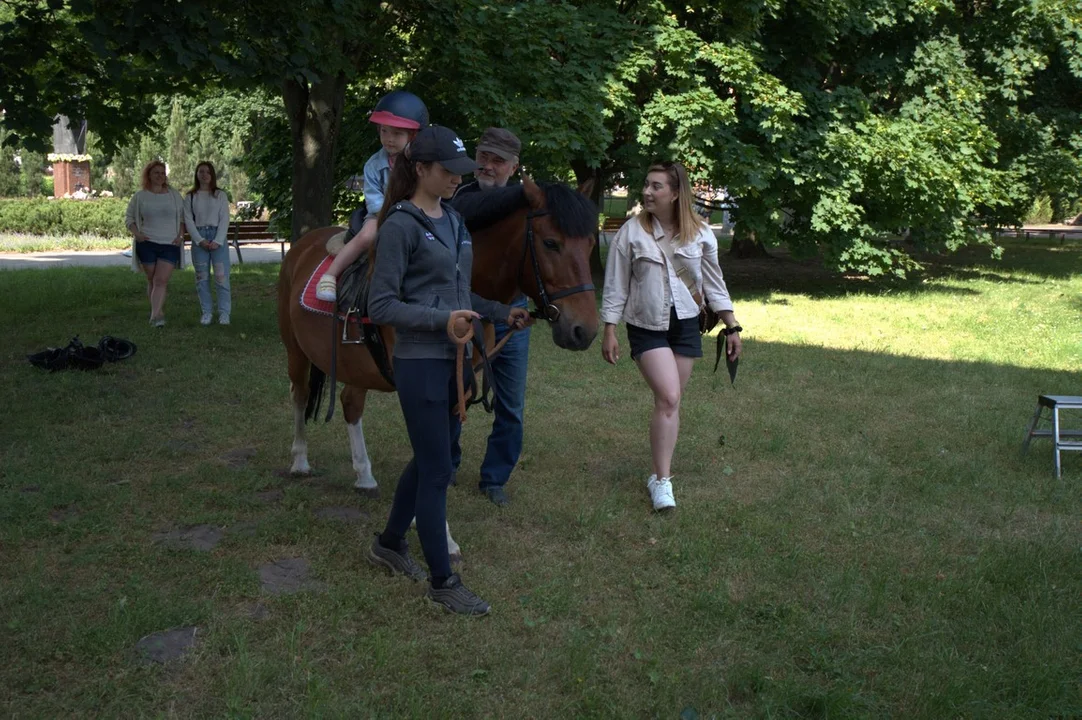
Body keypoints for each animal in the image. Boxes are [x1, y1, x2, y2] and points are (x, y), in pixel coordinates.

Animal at [279, 176, 597, 558]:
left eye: (591, 242)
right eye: (551, 243)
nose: (584, 330)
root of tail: (302, 244)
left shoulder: (458, 387)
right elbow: (431, 455)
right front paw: (439, 534)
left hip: (358, 364)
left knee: (351, 404)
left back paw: (365, 476)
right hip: (295, 350)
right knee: (299, 396)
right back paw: (299, 462)